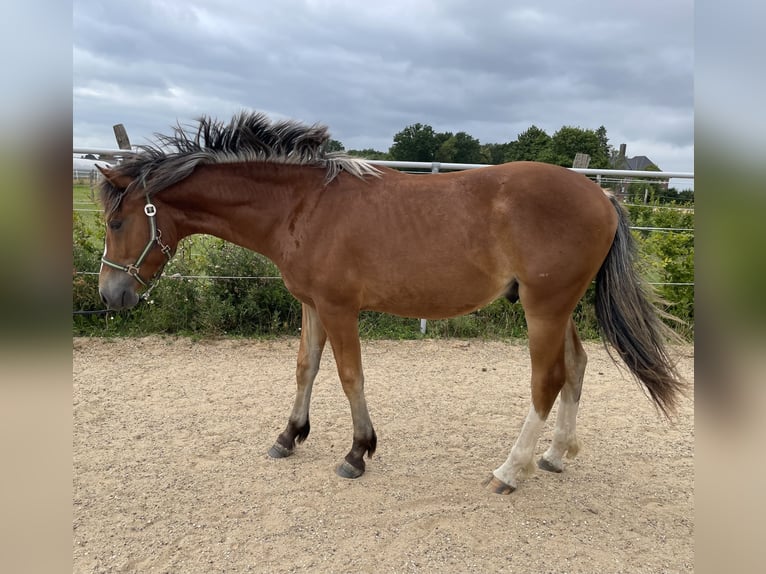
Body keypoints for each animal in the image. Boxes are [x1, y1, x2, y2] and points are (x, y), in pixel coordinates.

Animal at [97, 111, 684, 494]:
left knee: (548, 380)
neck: (304, 206)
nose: (110, 294)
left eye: (117, 221)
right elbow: (305, 367)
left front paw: (358, 452)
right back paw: (556, 456)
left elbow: (349, 375)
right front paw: (289, 436)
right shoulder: (312, 305)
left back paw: (509, 471)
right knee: (577, 367)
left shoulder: (339, 309)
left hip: (544, 308)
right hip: (556, 309)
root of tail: (601, 194)